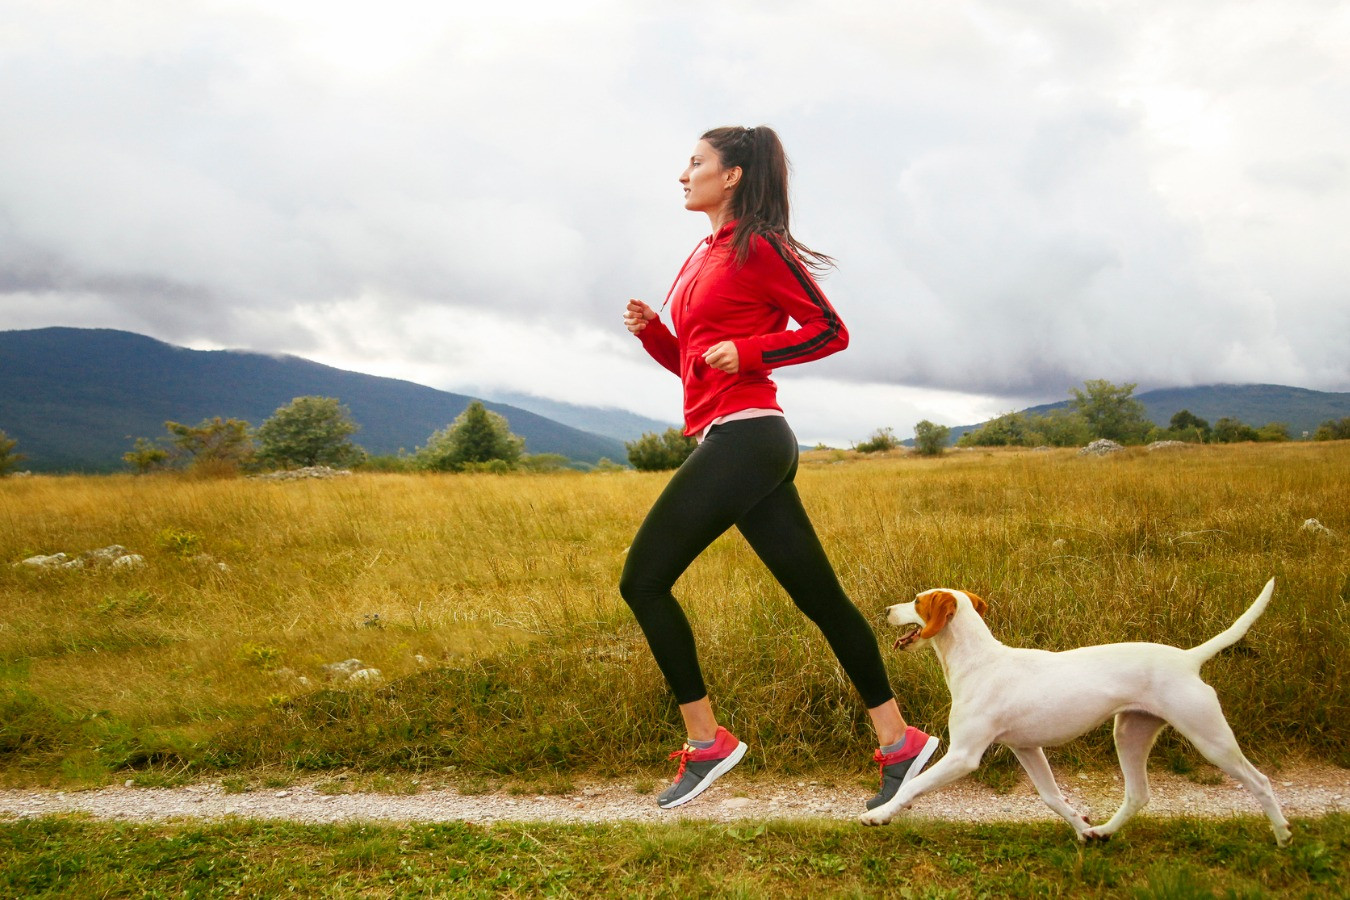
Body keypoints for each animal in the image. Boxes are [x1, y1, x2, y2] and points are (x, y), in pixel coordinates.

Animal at [858, 577, 1290, 847]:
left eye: (917, 601)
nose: (886, 609)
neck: (980, 661)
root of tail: (1188, 659)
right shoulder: (1027, 749)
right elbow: (1052, 797)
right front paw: (1082, 829)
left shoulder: (964, 755)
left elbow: (914, 784)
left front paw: (881, 816)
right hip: (1130, 733)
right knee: (1138, 794)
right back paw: (1104, 831)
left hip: (1210, 737)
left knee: (1259, 781)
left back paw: (1283, 834)